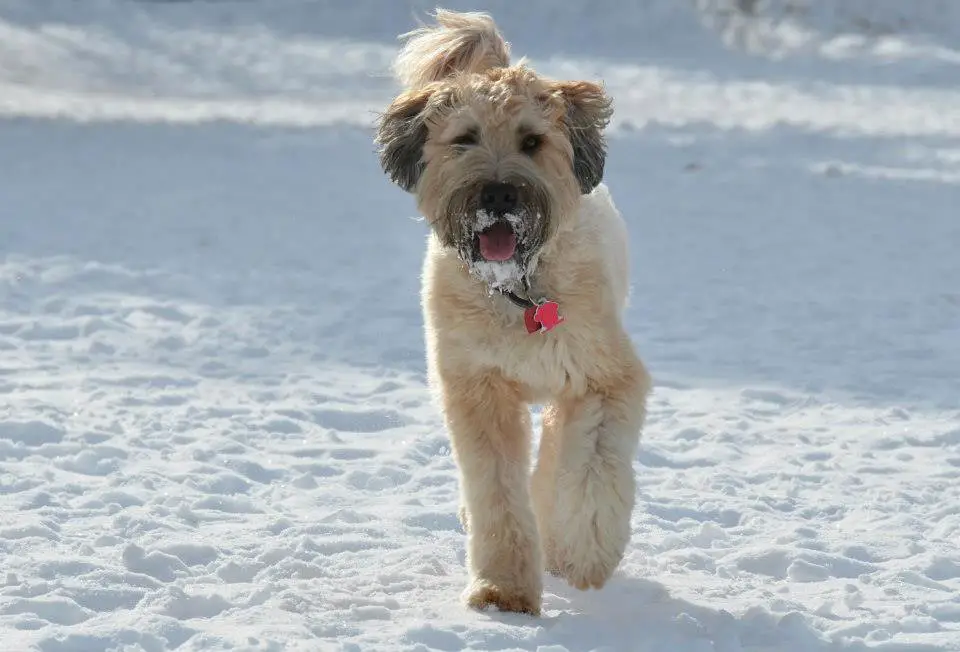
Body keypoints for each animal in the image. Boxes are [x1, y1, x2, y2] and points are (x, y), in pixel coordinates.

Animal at [376, 7, 652, 612]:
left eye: (532, 140)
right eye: (464, 138)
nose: (499, 194)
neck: (520, 294)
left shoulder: (602, 379)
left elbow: (590, 472)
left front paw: (581, 556)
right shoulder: (477, 387)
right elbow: (497, 491)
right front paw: (503, 587)